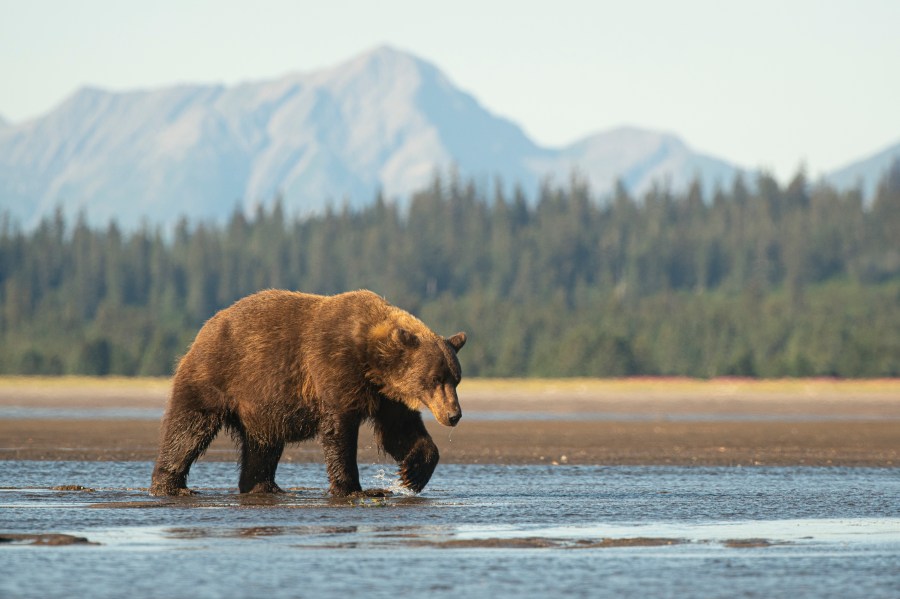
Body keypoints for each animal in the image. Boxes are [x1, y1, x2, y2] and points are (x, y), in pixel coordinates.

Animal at [149, 290, 468, 496]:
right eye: (435, 378)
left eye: (456, 379)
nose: (454, 415)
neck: (372, 360)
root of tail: (206, 327)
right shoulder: (335, 368)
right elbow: (339, 432)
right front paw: (356, 489)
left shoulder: (386, 395)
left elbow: (398, 431)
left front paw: (412, 473)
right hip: (217, 375)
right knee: (188, 429)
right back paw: (171, 486)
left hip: (260, 406)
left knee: (262, 445)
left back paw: (264, 486)